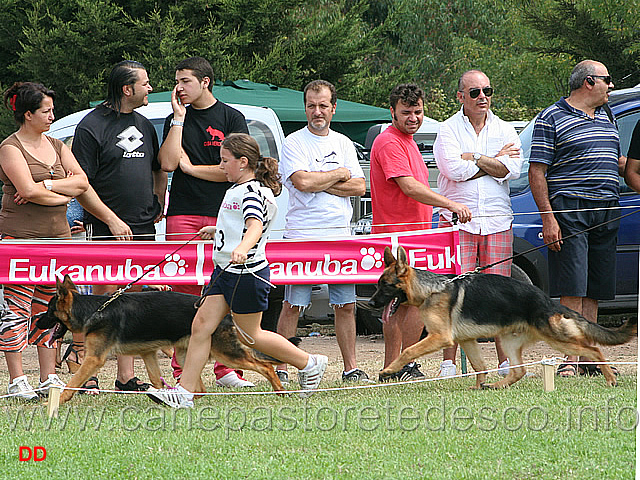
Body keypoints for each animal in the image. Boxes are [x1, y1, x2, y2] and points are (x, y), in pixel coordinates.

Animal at [34, 276, 284, 404]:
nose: (35, 323)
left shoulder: (94, 359)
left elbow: (73, 382)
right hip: (186, 354)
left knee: (265, 366)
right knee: (200, 387)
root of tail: (227, 315)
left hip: (226, 353)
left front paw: (55, 402)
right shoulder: (148, 354)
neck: (95, 309)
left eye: (49, 310)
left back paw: (280, 390)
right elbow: (155, 378)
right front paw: (160, 394)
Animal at [368, 246, 636, 388]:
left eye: (385, 286)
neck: (431, 290)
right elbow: (479, 366)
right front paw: (477, 387)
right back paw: (496, 386)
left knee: (594, 349)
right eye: (378, 285)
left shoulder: (440, 337)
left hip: (557, 340)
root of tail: (548, 301)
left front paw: (388, 370)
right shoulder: (466, 341)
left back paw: (610, 378)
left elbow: (407, 350)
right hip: (509, 342)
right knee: (518, 372)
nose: (370, 304)